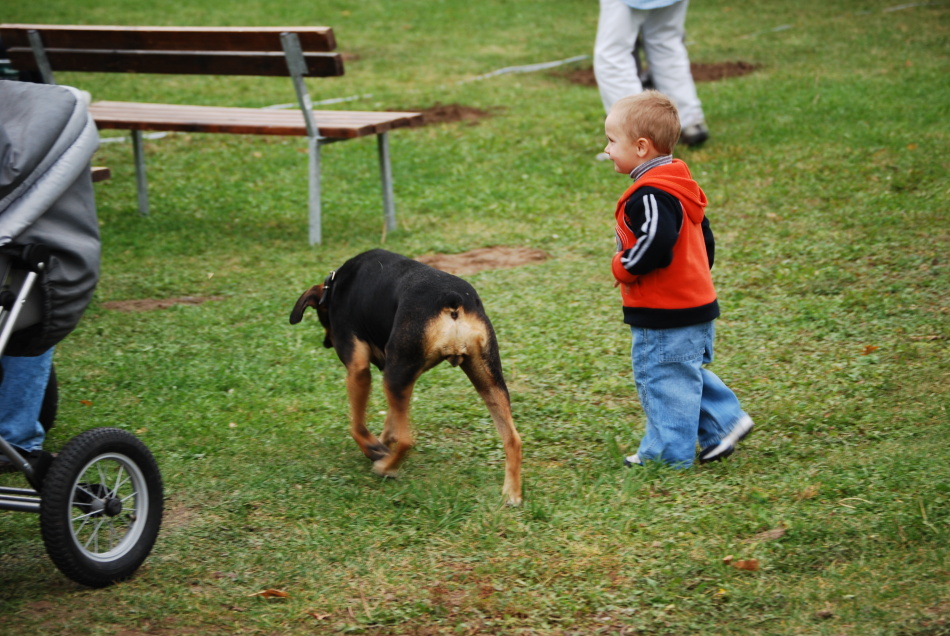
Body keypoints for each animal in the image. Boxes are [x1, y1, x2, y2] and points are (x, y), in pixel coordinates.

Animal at [290, 249, 522, 506]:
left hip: (394, 375)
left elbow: (357, 425)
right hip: (487, 378)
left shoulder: (361, 369)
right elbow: (391, 420)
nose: (326, 343)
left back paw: (386, 468)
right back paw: (512, 493)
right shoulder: (406, 377)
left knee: (406, 440)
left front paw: (373, 448)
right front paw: (381, 442)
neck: (335, 285)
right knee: (513, 438)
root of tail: (452, 299)